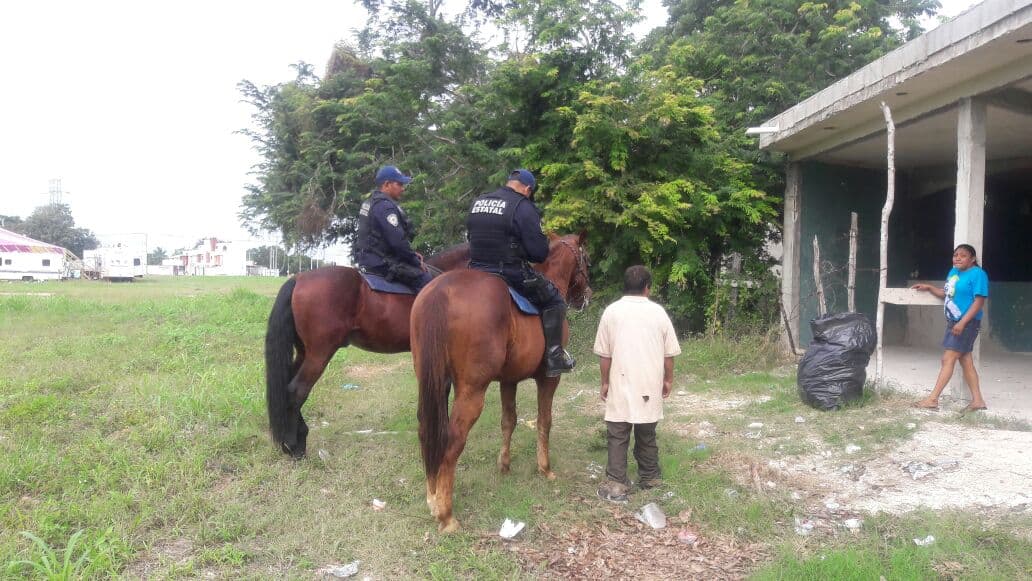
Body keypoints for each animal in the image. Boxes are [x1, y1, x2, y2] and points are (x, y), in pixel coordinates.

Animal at [264, 243, 470, 459]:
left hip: (304, 353)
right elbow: (443, 387)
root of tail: (298, 279)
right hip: (318, 355)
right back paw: (293, 446)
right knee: (297, 391)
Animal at [411, 232, 591, 533]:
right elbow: (544, 421)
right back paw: (446, 514)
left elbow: (509, 421)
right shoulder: (548, 379)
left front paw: (504, 465)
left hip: (434, 384)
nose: (587, 296)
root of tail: (441, 291)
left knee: (428, 431)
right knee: (452, 440)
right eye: (585, 259)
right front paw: (545, 468)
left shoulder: (509, 380)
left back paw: (432, 497)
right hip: (471, 392)